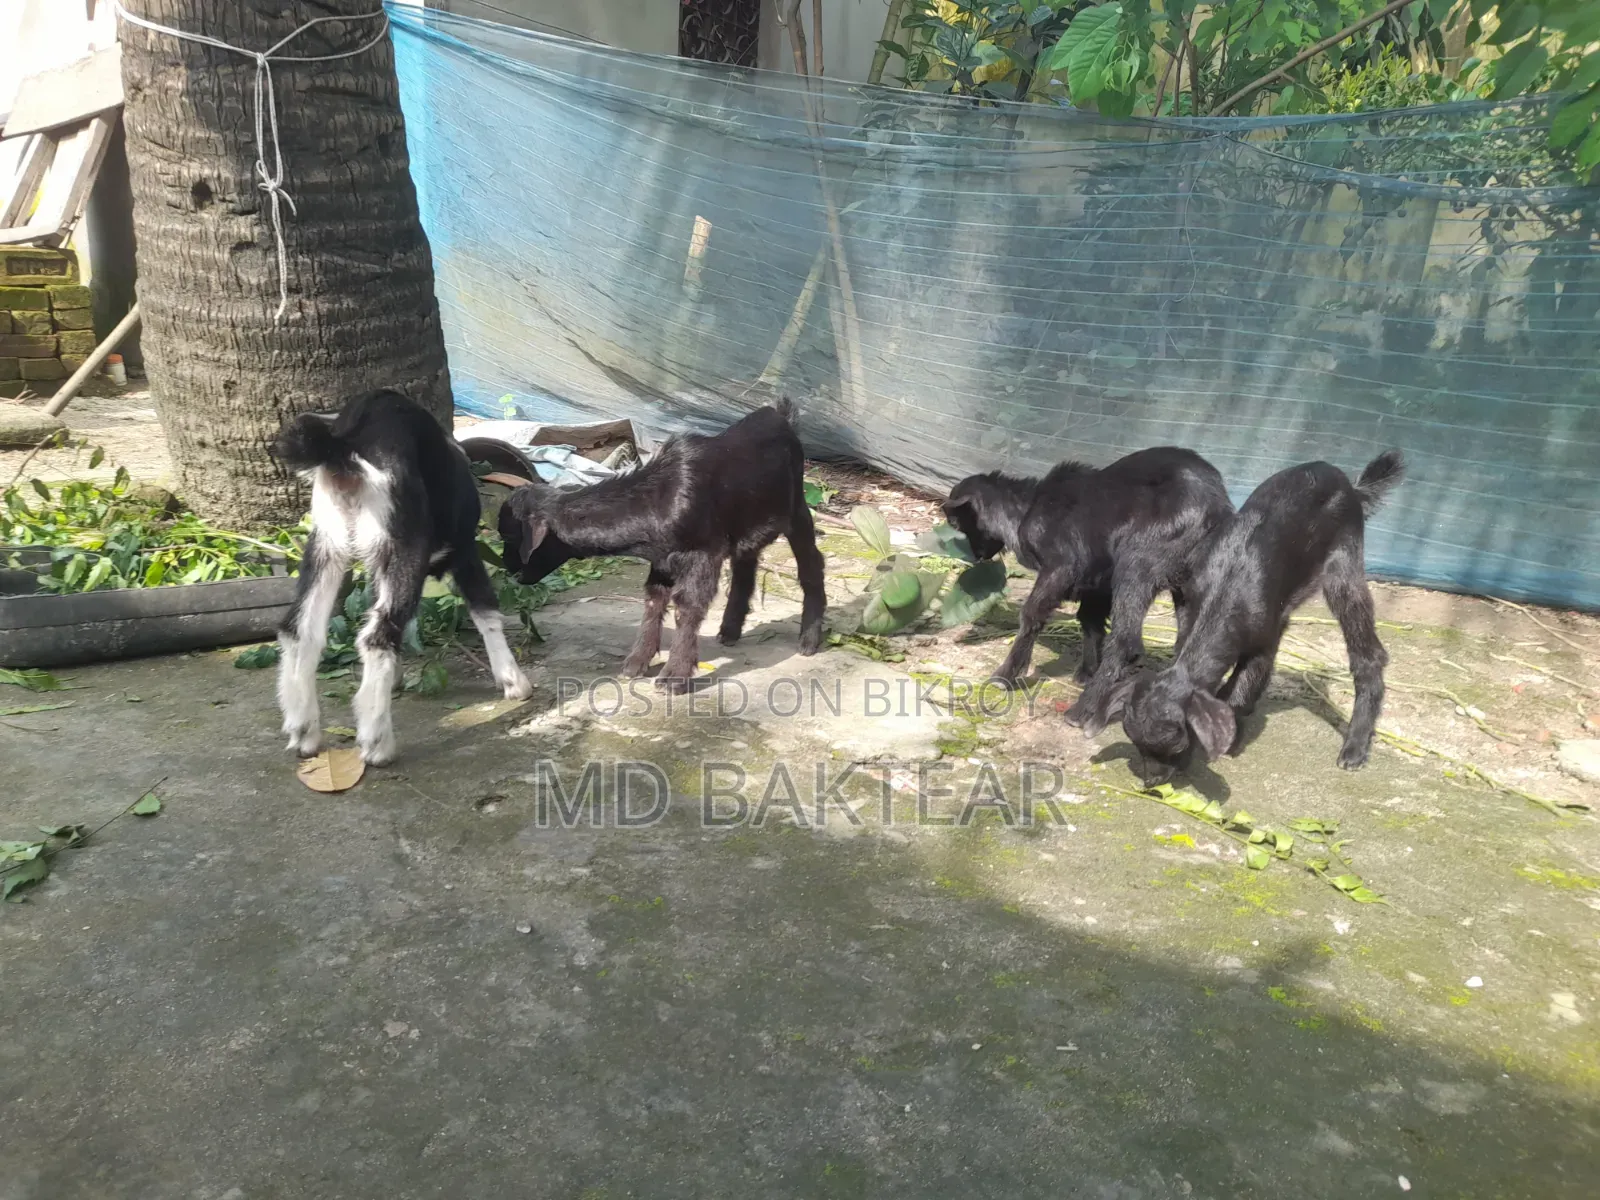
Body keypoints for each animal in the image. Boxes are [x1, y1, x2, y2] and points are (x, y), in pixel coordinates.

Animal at [272, 389, 532, 766]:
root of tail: (345, 439)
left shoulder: (378, 566)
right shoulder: (465, 549)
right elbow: (485, 610)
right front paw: (513, 680)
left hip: (326, 543)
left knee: (298, 628)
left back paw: (303, 729)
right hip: (406, 540)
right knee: (377, 637)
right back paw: (377, 743)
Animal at [497, 401, 825, 692]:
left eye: (510, 537)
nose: (510, 573)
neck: (657, 498)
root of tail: (780, 413)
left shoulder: (703, 553)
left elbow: (687, 605)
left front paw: (674, 676)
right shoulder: (662, 559)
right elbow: (654, 600)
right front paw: (636, 662)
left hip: (797, 510)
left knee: (811, 564)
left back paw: (809, 640)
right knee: (746, 565)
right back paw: (730, 630)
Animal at [941, 446, 1234, 726]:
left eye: (957, 523)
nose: (976, 556)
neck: (1026, 510)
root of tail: (1216, 507)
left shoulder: (1062, 567)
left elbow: (1031, 613)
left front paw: (1006, 675)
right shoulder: (1098, 582)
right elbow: (1089, 621)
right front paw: (1086, 671)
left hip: (1137, 563)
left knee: (1127, 642)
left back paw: (1084, 708)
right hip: (1187, 588)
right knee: (1187, 644)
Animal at [1085, 450, 1406, 783]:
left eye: (1177, 745)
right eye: (1136, 743)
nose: (1152, 782)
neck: (1226, 591)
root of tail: (1351, 486)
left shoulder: (1265, 639)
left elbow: (1243, 686)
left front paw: (1233, 732)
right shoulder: (1190, 610)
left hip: (1344, 568)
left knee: (1368, 653)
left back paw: (1355, 747)